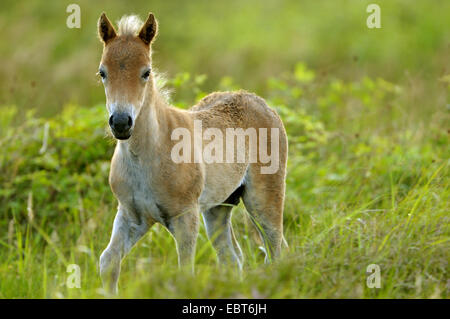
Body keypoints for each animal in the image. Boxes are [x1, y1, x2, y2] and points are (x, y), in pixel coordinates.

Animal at [98, 12, 288, 294]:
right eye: (102, 72)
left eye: (146, 72)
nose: (121, 122)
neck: (147, 158)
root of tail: (261, 103)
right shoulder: (131, 215)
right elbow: (108, 261)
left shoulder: (185, 217)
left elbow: (184, 271)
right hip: (218, 208)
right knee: (233, 258)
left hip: (263, 198)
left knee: (277, 249)